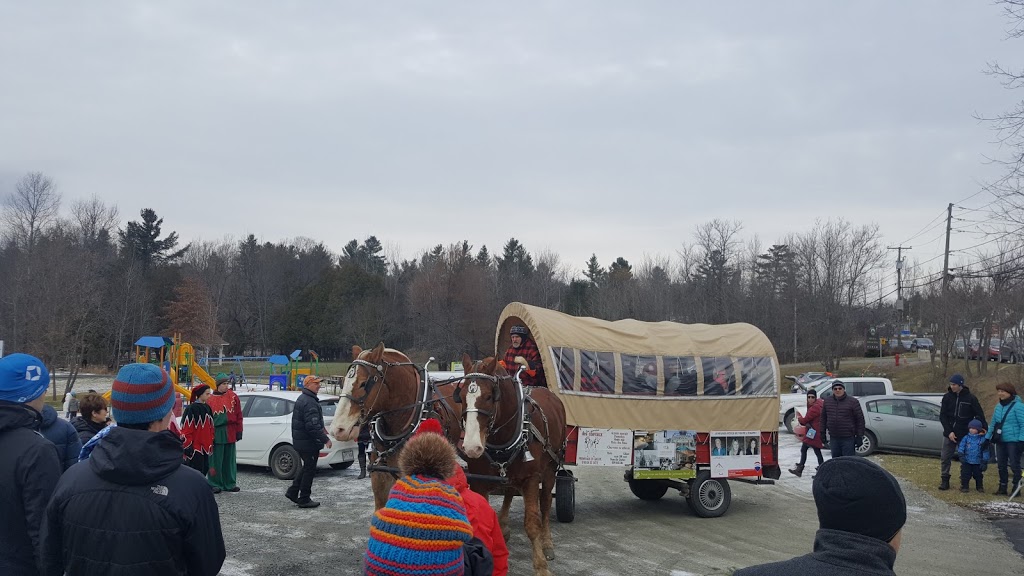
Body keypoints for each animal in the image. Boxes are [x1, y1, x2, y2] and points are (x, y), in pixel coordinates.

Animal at [462, 352, 569, 573]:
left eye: (489, 396)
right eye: (459, 396)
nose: (471, 447)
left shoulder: (531, 479)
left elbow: (532, 522)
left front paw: (541, 566)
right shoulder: (479, 481)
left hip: (551, 468)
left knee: (546, 502)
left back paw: (547, 543)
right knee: (510, 491)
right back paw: (503, 526)